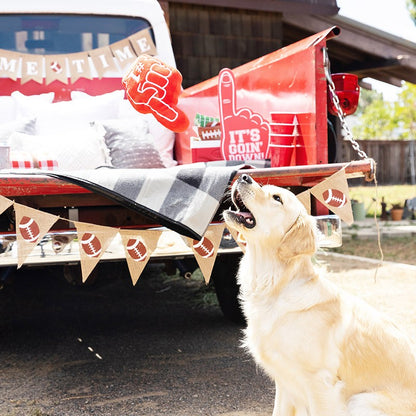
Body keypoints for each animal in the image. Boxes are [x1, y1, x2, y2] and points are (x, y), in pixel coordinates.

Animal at [223, 174, 416, 416]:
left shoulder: (319, 382)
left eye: (277, 198)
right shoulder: (284, 381)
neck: (275, 286)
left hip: (361, 400)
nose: (243, 176)